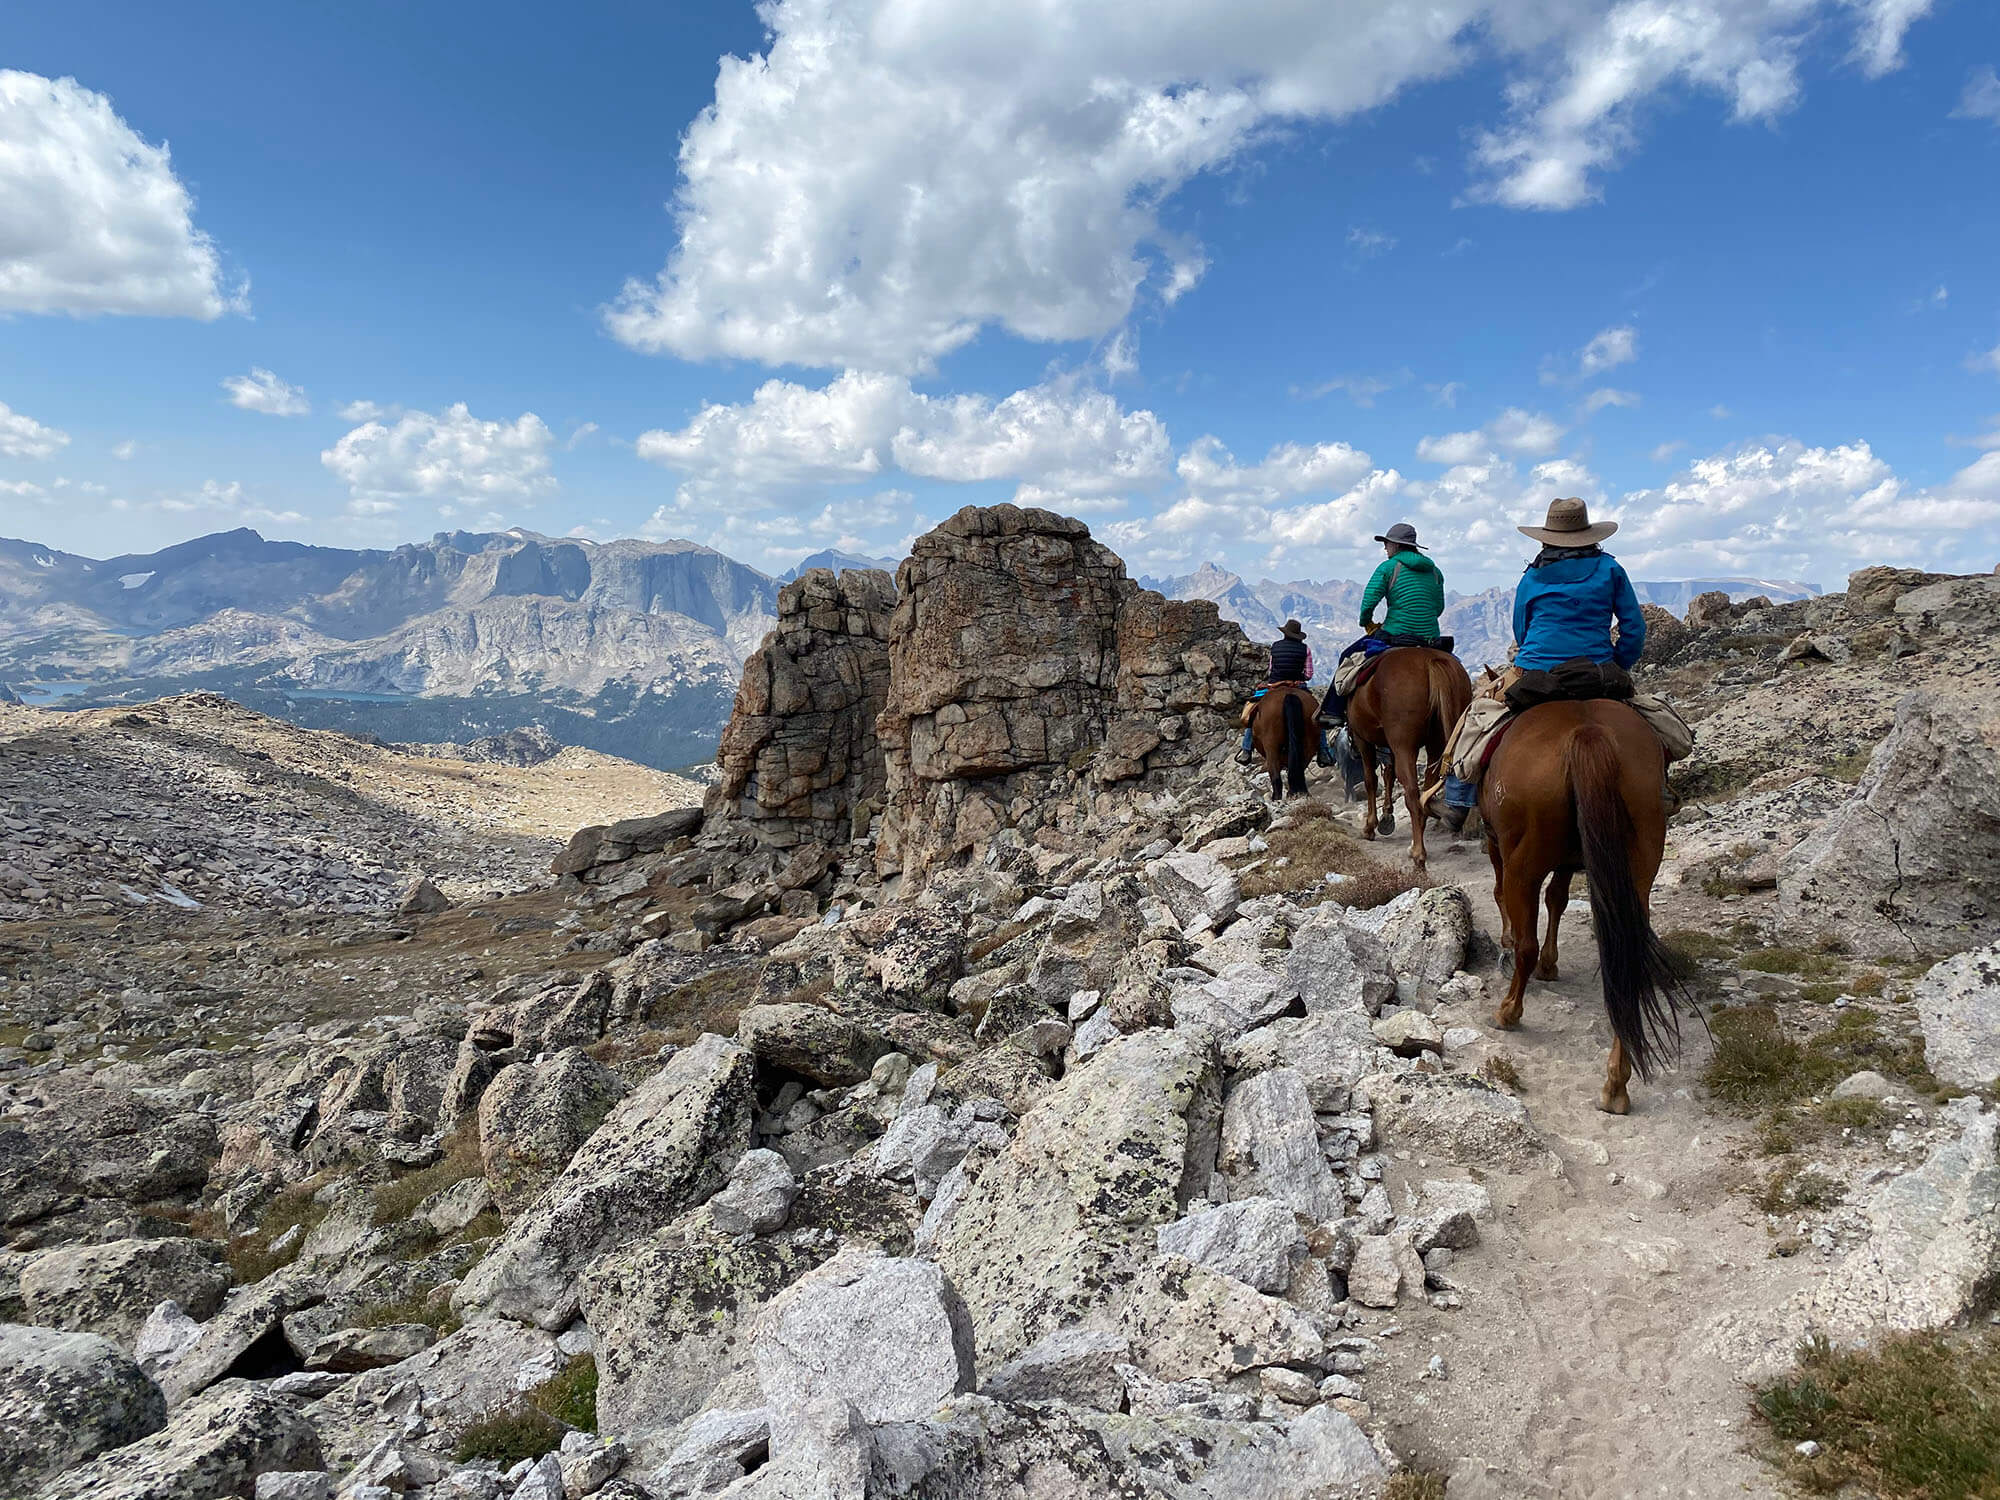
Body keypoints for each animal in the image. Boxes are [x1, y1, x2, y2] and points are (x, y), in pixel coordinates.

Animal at [1344, 644, 1472, 868]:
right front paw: (1387, 817)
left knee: (1412, 792)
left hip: (1403, 745)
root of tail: (1430, 661)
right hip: (1437, 743)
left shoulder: (1363, 740)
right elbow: (1389, 775)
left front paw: (1370, 826)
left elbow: (1371, 780)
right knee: (1425, 793)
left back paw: (1418, 852)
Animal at [1480, 700, 1696, 1112]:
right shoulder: (1569, 860)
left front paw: (1514, 945)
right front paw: (1551, 965)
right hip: (1638, 865)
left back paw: (1508, 1011)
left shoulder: (1497, 846)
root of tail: (1587, 733)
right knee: (1627, 960)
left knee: (1526, 942)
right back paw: (1616, 1083)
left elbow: (1510, 897)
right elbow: (1558, 899)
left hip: (1523, 866)